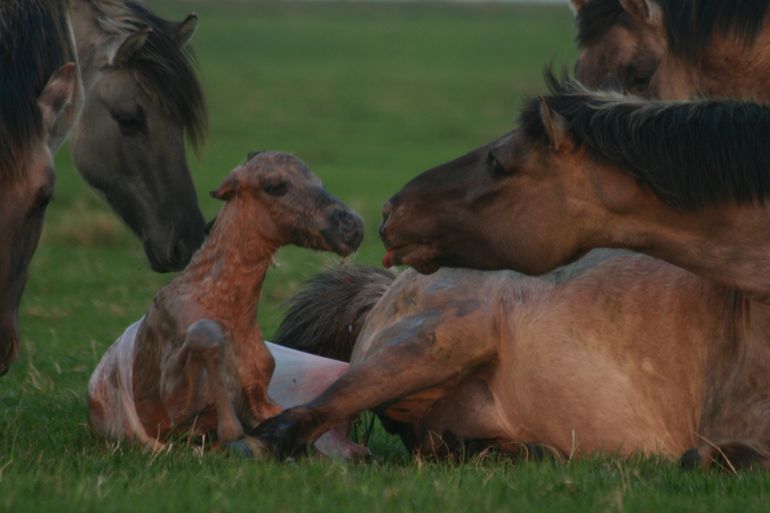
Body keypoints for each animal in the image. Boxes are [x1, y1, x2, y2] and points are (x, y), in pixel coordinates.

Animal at [88, 152, 364, 456]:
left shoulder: (260, 400)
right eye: (275, 186)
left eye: (317, 180)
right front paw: (231, 430)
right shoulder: (173, 413)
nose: (352, 227)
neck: (220, 305)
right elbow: (205, 337)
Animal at [256, 80, 768, 468]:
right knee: (292, 421)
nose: (388, 211)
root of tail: (389, 290)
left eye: (498, 162)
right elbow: (702, 458)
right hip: (437, 343)